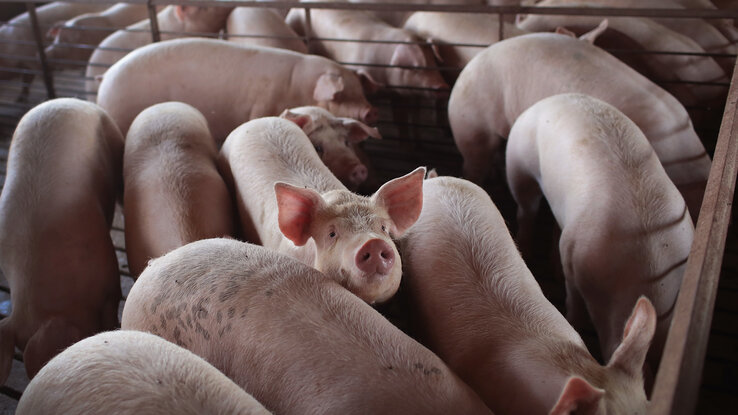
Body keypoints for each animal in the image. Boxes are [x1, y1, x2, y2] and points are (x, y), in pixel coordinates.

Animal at [96, 37, 378, 143]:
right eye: (339, 95)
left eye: (361, 91)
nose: (370, 110)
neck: (297, 87)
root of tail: (106, 76)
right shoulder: (262, 105)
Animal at [505, 93, 694, 376]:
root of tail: (547, 100)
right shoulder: (574, 258)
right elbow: (573, 301)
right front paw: (573, 321)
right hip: (519, 163)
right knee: (527, 210)